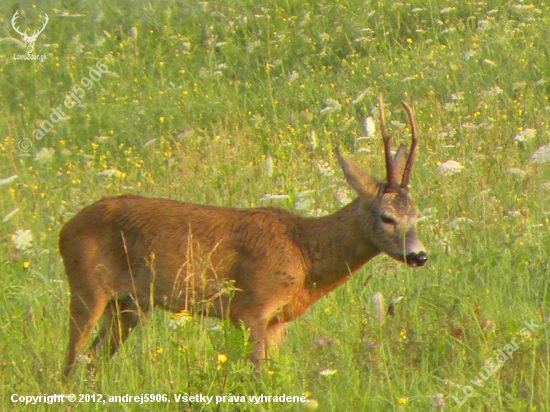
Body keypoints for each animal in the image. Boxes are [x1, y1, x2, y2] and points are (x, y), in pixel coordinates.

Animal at [61, 93, 432, 376]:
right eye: (387, 217)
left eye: (415, 214)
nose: (419, 255)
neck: (303, 251)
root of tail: (64, 229)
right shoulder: (250, 307)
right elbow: (256, 376)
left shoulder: (277, 322)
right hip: (86, 289)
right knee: (68, 363)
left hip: (128, 306)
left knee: (91, 362)